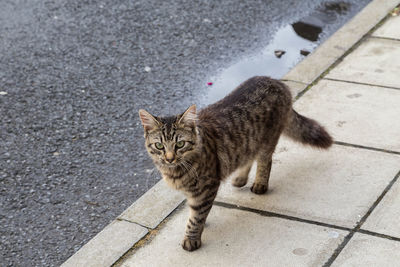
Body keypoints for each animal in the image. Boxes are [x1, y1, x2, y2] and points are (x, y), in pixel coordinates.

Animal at [139, 76, 332, 252]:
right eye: (159, 146)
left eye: (180, 144)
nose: (169, 158)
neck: (176, 170)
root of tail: (276, 81)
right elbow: (196, 212)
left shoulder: (207, 187)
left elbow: (196, 217)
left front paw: (192, 238)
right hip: (248, 143)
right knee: (249, 157)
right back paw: (240, 179)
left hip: (267, 140)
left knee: (265, 161)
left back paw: (260, 184)